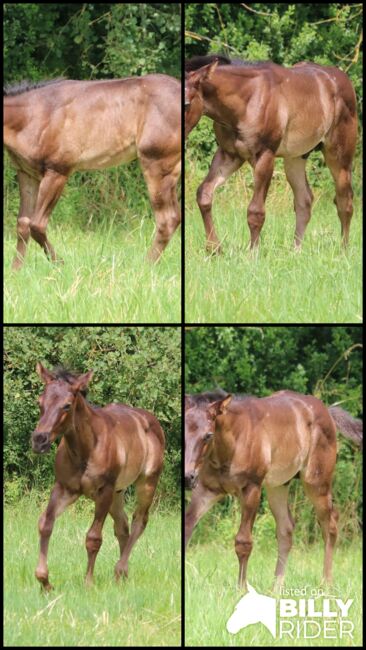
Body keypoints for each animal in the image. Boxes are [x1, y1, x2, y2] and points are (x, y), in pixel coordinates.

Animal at [2, 74, 180, 268]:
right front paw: (16, 270)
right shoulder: (27, 173)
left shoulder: (57, 172)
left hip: (157, 164)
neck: (33, 116)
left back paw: (146, 265)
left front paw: (61, 264)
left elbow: (37, 225)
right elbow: (23, 224)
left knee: (167, 219)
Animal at [33, 362, 164, 588]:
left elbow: (94, 538)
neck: (85, 449)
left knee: (139, 521)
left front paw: (88, 582)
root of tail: (152, 421)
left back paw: (120, 569)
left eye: (67, 405)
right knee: (122, 526)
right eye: (40, 402)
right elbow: (45, 524)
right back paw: (122, 576)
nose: (39, 440)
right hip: (118, 493)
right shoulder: (64, 488)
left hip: (146, 482)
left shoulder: (104, 490)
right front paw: (44, 581)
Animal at [184, 55, 356, 253]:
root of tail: (343, 80)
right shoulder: (229, 155)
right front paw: (214, 249)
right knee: (304, 200)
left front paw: (253, 253)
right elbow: (204, 194)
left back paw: (343, 250)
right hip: (295, 158)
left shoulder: (264, 156)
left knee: (344, 201)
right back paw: (295, 252)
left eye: (186, 104)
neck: (247, 101)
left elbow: (256, 211)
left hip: (339, 157)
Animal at [184, 388, 362, 588]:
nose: (188, 477)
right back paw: (276, 587)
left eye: (208, 435)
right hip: (278, 486)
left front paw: (241, 588)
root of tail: (327, 412)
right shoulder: (206, 490)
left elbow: (244, 542)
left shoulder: (252, 489)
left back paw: (326, 583)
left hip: (317, 483)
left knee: (330, 524)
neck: (232, 443)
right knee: (286, 528)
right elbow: (187, 528)